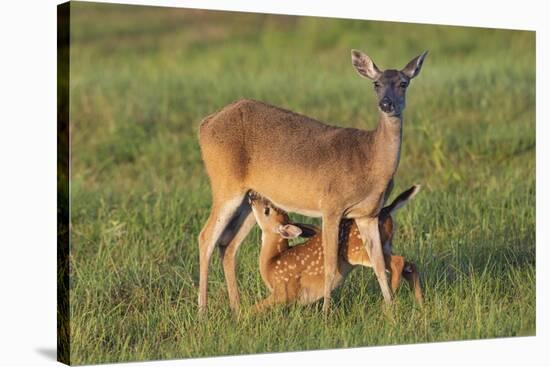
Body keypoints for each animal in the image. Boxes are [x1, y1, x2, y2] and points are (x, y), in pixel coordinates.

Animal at [199, 48, 432, 314]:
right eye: (376, 84)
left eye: (404, 83)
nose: (386, 104)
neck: (370, 160)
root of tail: (204, 125)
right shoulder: (331, 205)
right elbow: (330, 265)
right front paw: (326, 313)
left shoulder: (368, 214)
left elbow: (377, 263)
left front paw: (390, 310)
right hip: (225, 184)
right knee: (206, 238)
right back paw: (202, 311)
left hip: (251, 198)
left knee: (227, 245)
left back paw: (236, 308)